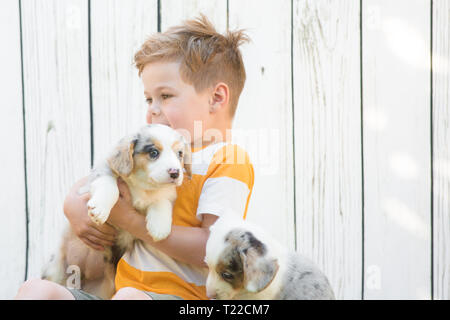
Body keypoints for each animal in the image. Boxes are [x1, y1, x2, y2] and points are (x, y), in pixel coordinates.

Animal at [41, 124, 191, 298]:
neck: (142, 186)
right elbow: (109, 187)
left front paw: (159, 229)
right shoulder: (102, 173)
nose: (175, 173)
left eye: (180, 154)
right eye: (154, 152)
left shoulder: (165, 194)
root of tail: (80, 278)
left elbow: (161, 201)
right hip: (55, 271)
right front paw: (99, 210)